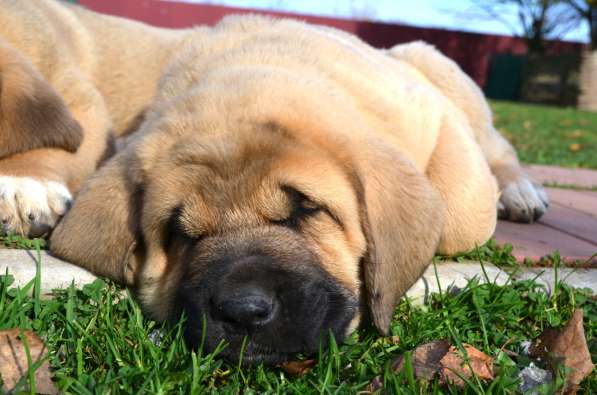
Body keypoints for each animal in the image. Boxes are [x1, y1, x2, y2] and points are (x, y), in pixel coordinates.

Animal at [1, 0, 548, 366]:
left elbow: (461, 208)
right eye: (179, 234)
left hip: (439, 67)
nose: (244, 312)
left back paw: (522, 192)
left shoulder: (434, 117)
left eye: (306, 209)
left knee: (496, 145)